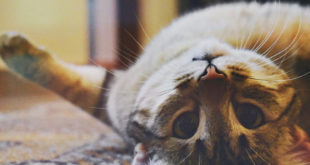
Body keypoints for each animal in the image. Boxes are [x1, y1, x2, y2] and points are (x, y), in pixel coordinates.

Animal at [0, 1, 310, 165]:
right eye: (185, 124)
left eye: (249, 115)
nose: (211, 76)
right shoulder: (114, 94)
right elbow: (74, 86)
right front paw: (13, 48)